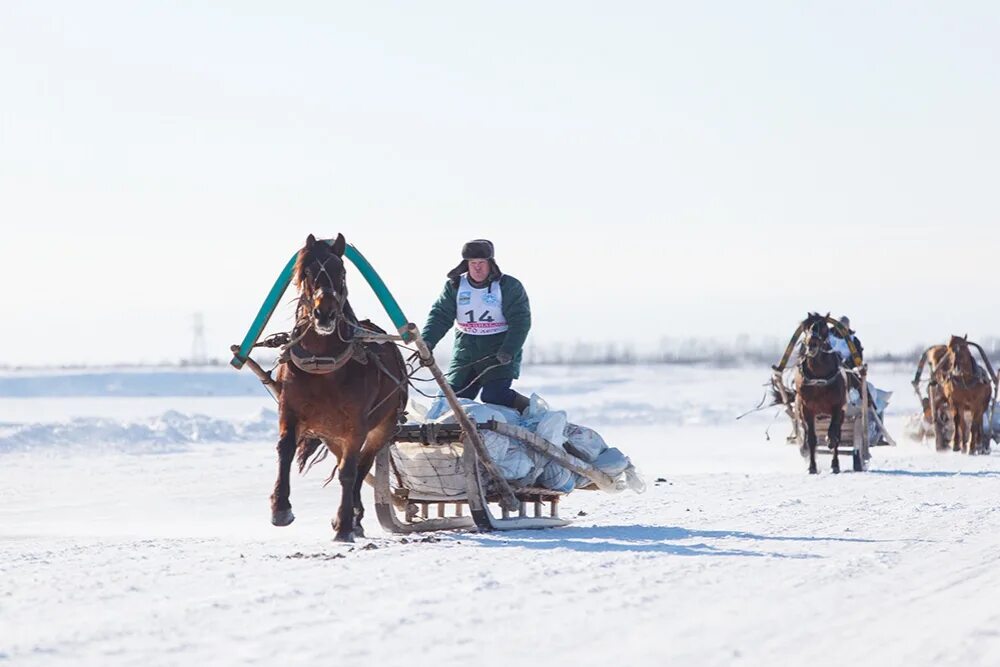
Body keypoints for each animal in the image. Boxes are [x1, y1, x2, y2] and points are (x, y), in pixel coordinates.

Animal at [270, 235, 406, 544]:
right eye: (307, 272)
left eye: (341, 272)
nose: (325, 313)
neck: (323, 363)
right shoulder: (289, 410)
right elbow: (285, 449)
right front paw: (280, 507)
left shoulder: (356, 424)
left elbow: (348, 471)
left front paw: (344, 524)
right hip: (330, 433)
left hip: (383, 425)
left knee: (361, 467)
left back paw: (353, 517)